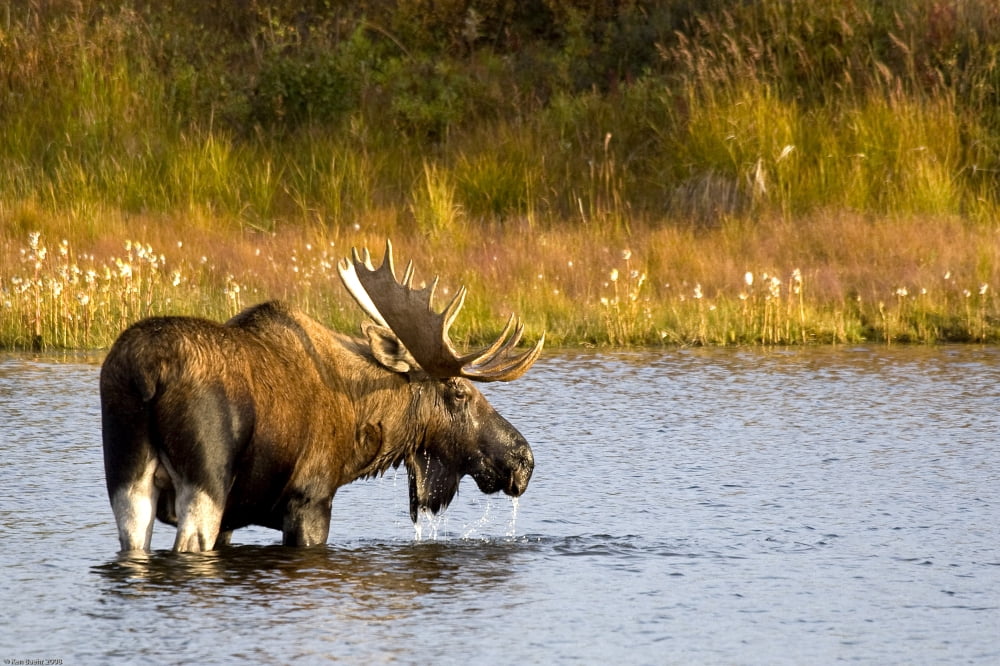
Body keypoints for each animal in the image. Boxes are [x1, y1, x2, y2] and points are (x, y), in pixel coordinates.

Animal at [99, 240, 543, 552]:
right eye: (458, 392)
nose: (523, 459)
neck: (360, 424)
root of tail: (146, 374)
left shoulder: (234, 518)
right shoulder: (310, 501)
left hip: (126, 476)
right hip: (204, 483)